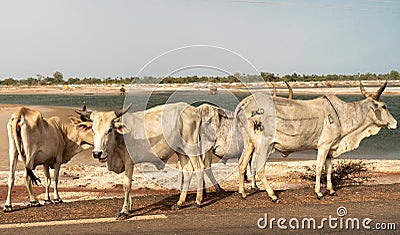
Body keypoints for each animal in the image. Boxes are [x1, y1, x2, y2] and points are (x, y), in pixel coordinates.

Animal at [236, 81, 396, 201]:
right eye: (384, 106)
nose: (395, 123)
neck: (341, 114)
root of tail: (245, 102)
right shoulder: (323, 146)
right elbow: (319, 168)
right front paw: (319, 193)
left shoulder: (331, 148)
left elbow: (329, 169)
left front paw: (331, 190)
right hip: (263, 146)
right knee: (259, 168)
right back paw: (272, 195)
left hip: (249, 144)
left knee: (242, 164)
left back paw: (243, 193)